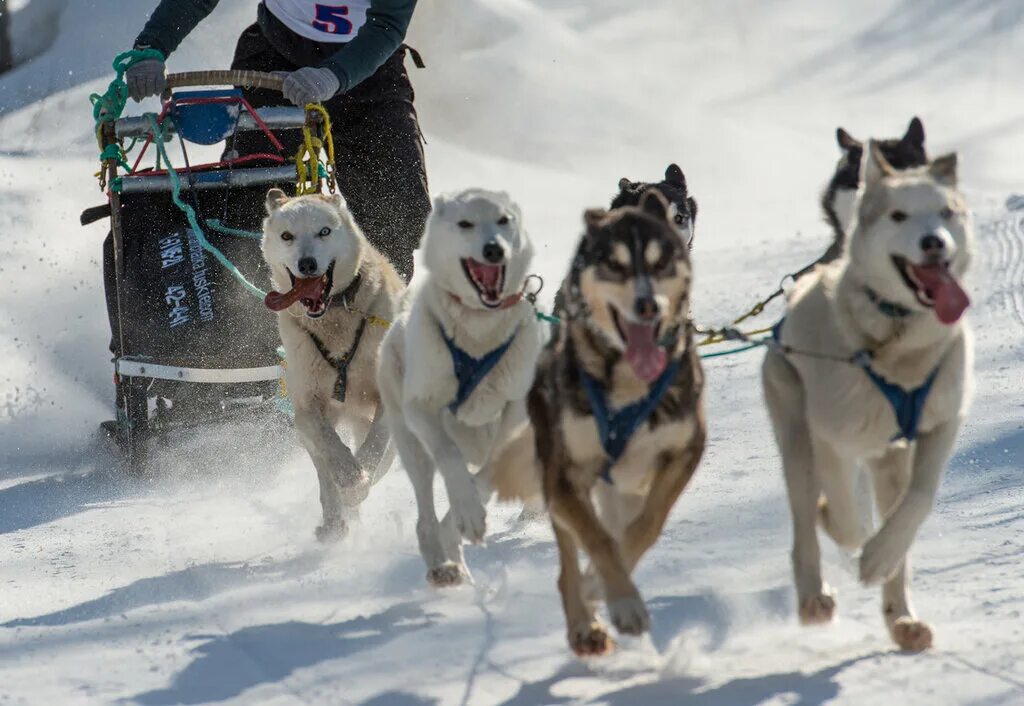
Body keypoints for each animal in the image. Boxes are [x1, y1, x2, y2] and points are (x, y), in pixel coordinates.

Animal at [262, 187, 401, 541]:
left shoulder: (388, 398)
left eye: (324, 231)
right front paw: (348, 475)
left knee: (384, 455)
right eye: (287, 236)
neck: (335, 319)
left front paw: (359, 478)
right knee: (323, 467)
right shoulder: (306, 406)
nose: (307, 263)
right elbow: (327, 443)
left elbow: (376, 444)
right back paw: (334, 519)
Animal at [378, 187, 544, 582]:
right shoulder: (421, 408)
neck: (479, 330)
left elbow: (489, 474)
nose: (494, 249)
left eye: (503, 220)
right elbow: (450, 458)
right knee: (424, 515)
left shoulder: (516, 410)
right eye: (465, 223)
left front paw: (463, 520)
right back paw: (443, 563)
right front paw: (466, 512)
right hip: (410, 444)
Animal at [765, 143, 970, 651]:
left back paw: (903, 618)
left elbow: (919, 499)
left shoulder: (943, 421)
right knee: (805, 522)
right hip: (796, 437)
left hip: (889, 458)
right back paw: (814, 596)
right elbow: (845, 516)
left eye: (945, 212)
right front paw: (853, 537)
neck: (897, 345)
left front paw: (881, 556)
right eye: (899, 215)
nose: (934, 243)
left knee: (895, 514)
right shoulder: (830, 438)